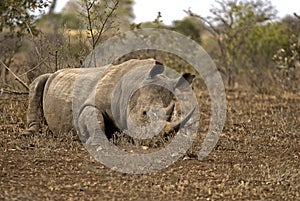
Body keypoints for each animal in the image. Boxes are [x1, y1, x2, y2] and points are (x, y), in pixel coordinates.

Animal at [22, 58, 195, 144]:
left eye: (171, 114)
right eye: (144, 113)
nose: (156, 140)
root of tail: (56, 72)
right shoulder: (89, 104)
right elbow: (96, 118)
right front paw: (97, 143)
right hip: (49, 77)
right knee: (38, 81)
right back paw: (28, 133)